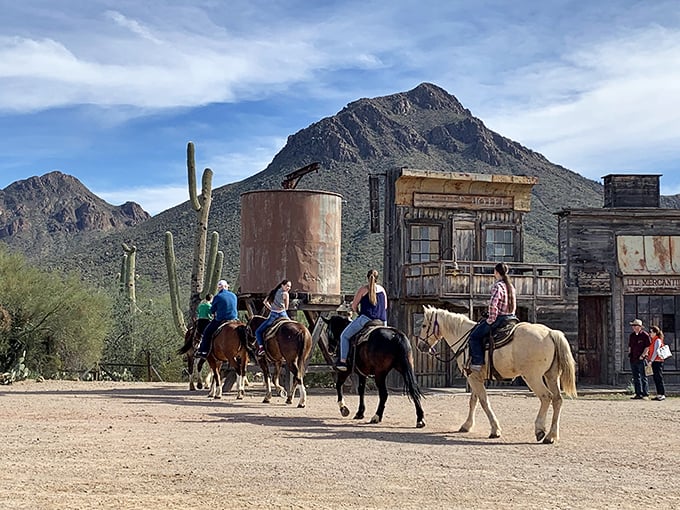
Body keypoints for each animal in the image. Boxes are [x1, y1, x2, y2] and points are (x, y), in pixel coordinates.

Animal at [418, 304, 576, 444]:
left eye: (424, 325)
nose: (420, 346)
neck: (464, 337)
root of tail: (550, 333)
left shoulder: (473, 378)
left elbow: (483, 401)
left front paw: (495, 430)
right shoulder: (476, 377)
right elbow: (473, 401)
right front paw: (467, 425)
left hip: (533, 377)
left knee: (546, 397)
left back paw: (540, 430)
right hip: (551, 375)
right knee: (557, 399)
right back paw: (551, 436)